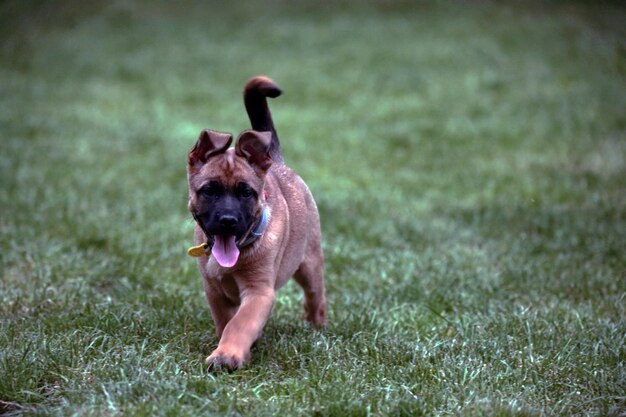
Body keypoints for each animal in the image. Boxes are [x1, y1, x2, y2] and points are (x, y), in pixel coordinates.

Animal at [185, 76, 326, 368]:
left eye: (246, 192)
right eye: (209, 190)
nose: (228, 220)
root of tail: (279, 163)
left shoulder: (259, 291)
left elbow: (239, 324)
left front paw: (226, 355)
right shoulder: (214, 290)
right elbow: (227, 322)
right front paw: (237, 349)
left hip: (309, 263)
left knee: (316, 297)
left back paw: (317, 327)